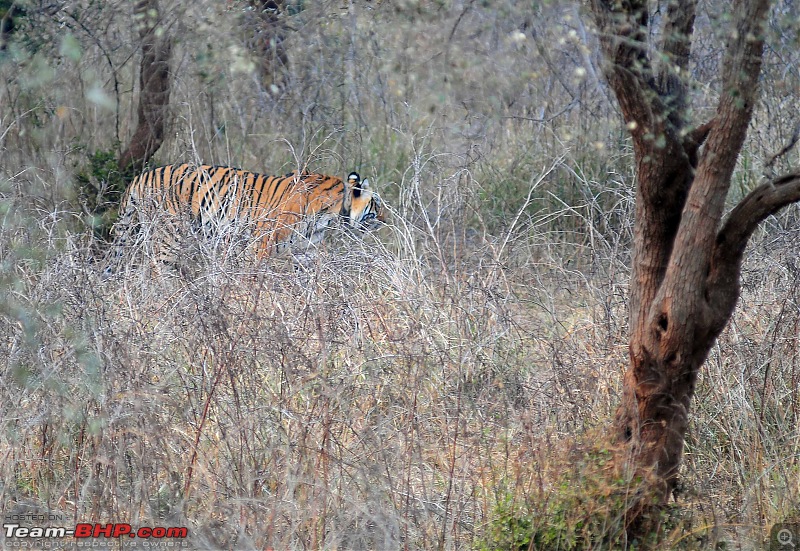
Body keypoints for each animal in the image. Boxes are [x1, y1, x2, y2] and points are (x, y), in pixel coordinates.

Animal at [107, 165, 388, 274]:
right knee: (155, 272)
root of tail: (140, 176)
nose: (386, 220)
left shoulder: (305, 249)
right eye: (377, 205)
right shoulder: (258, 246)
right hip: (169, 237)